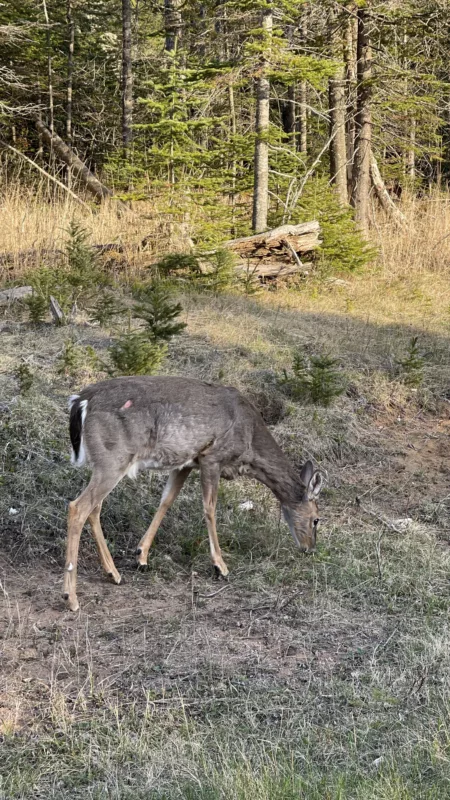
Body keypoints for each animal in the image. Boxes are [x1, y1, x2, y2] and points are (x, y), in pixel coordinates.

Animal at [64, 378, 324, 608]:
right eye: (316, 520)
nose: (310, 548)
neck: (250, 443)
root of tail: (81, 400)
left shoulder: (186, 463)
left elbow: (166, 500)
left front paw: (141, 555)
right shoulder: (212, 457)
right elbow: (210, 508)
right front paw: (220, 566)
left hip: (106, 463)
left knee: (94, 507)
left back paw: (113, 573)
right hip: (114, 457)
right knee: (78, 506)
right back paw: (71, 597)